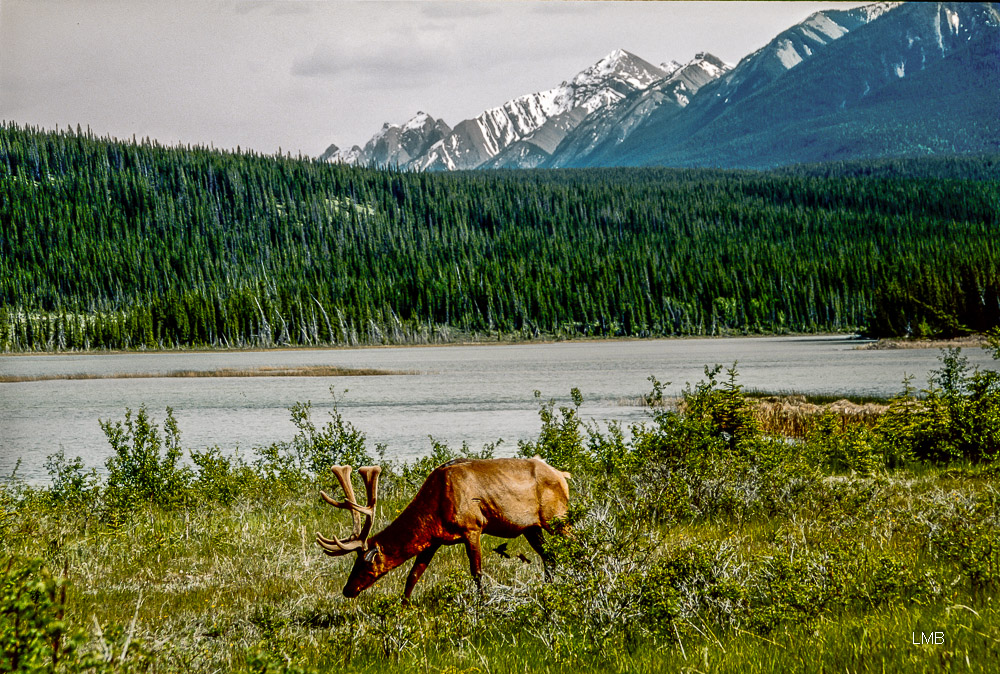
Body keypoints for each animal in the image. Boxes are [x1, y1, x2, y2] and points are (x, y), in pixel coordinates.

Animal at [314, 454, 572, 596]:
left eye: (364, 565)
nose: (348, 590)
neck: (435, 506)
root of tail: (563, 475)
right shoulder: (433, 541)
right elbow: (413, 575)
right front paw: (403, 607)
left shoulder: (472, 527)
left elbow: (477, 572)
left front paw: (483, 603)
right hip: (532, 527)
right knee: (549, 556)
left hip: (557, 517)